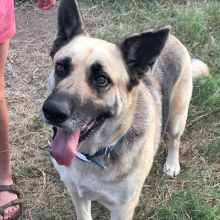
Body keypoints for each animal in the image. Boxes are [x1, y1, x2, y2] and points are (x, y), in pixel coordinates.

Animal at [40, 0, 208, 218]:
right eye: (61, 67)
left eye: (101, 80)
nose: (52, 111)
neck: (94, 154)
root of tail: (173, 39)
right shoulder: (77, 194)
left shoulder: (123, 209)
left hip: (177, 118)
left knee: (174, 140)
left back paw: (172, 163)